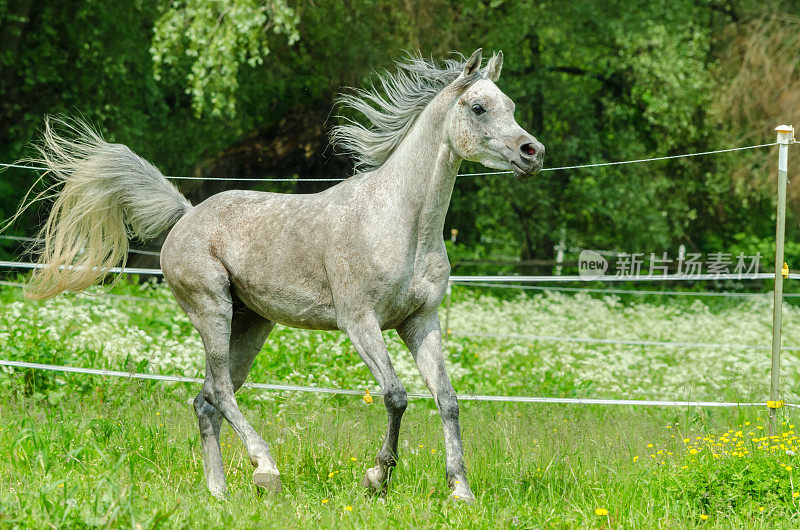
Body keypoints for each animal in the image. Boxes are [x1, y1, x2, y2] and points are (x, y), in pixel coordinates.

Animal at [18, 48, 544, 500]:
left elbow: (448, 399)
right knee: (221, 393)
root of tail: (185, 215)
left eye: (512, 105)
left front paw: (460, 492)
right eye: (478, 107)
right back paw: (265, 469)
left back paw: (219, 492)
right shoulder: (360, 322)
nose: (531, 152)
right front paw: (376, 478)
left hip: (251, 325)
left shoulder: (421, 322)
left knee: (205, 399)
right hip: (212, 310)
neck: (401, 221)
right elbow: (396, 395)